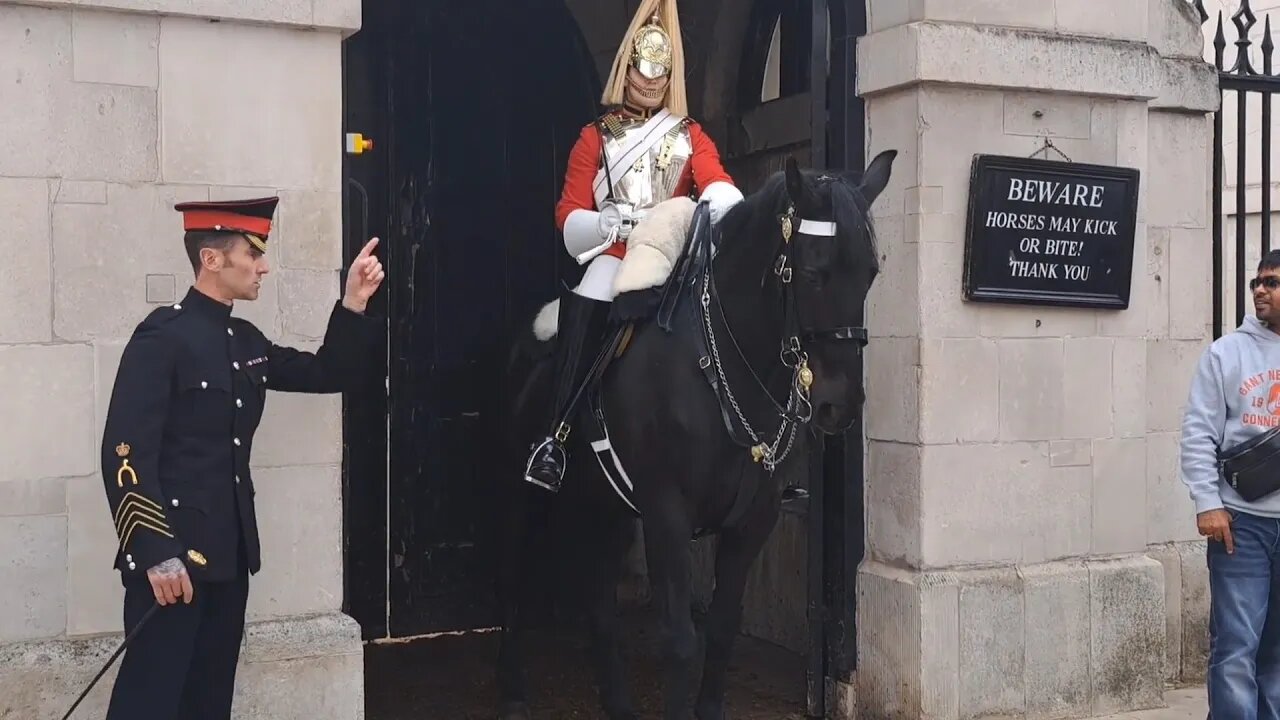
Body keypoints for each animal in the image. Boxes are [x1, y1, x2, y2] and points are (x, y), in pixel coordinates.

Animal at [494, 148, 896, 712]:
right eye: (813, 273)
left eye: (870, 272)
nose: (839, 405)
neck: (720, 365)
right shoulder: (667, 514)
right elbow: (682, 643)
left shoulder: (752, 519)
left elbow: (722, 630)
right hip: (524, 492)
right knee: (512, 578)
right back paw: (512, 690)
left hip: (607, 506)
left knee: (599, 602)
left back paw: (616, 703)